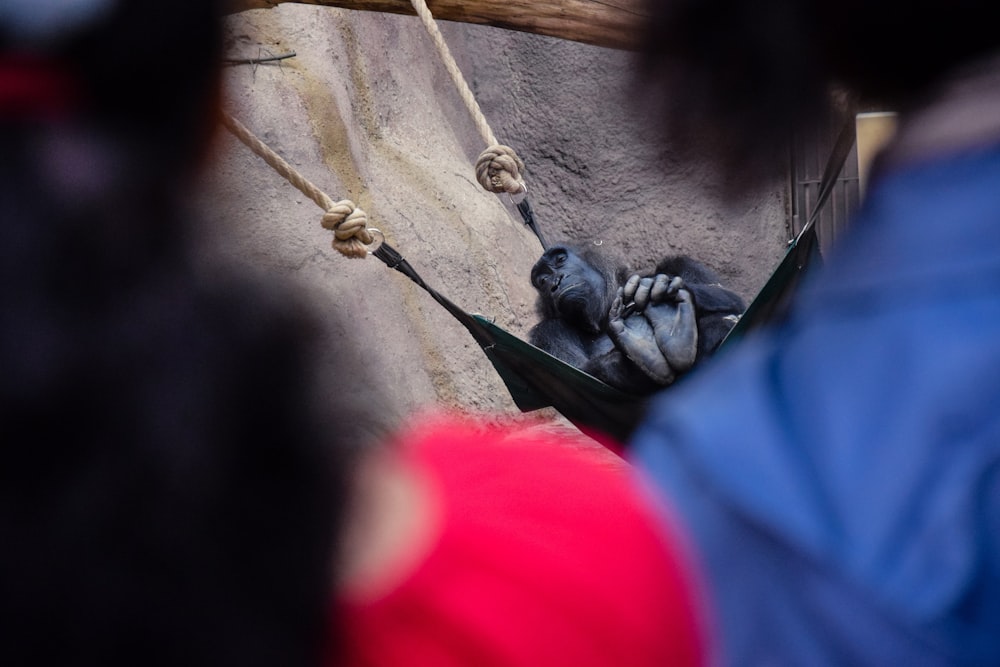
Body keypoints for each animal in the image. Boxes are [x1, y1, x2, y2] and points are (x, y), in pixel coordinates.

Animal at [528, 244, 748, 392]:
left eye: (560, 260)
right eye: (543, 280)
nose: (555, 282)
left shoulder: (680, 263)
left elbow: (735, 301)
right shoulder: (548, 331)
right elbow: (578, 371)